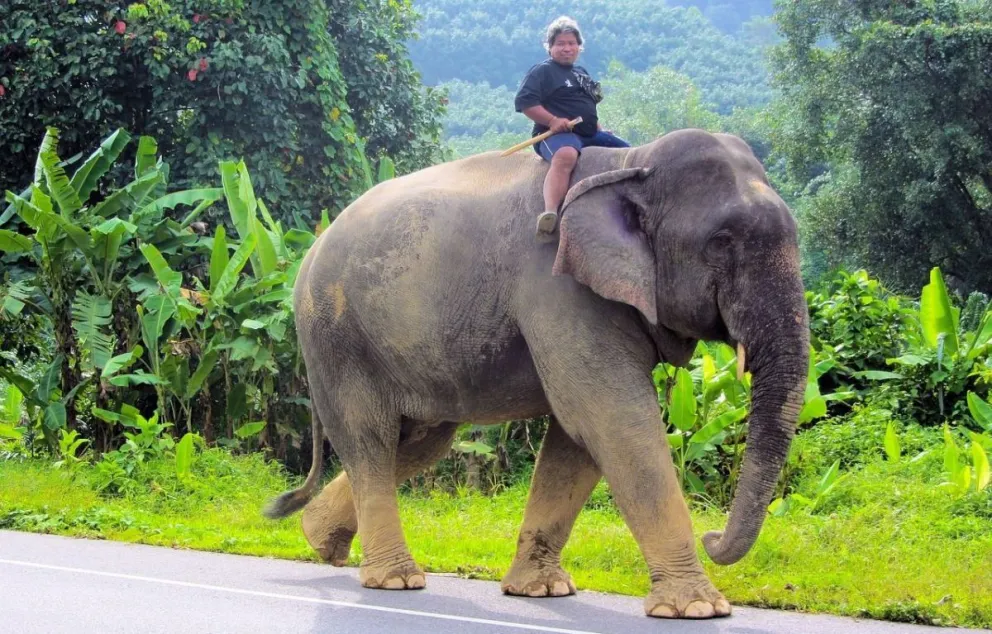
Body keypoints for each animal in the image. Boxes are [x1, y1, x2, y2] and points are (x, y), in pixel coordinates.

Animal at [262, 128, 810, 620]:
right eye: (721, 242)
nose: (713, 536)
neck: (633, 161)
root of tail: (309, 251)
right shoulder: (559, 288)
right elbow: (611, 418)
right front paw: (698, 608)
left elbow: (578, 439)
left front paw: (542, 591)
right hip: (335, 335)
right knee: (370, 438)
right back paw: (394, 579)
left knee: (417, 442)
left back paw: (319, 539)